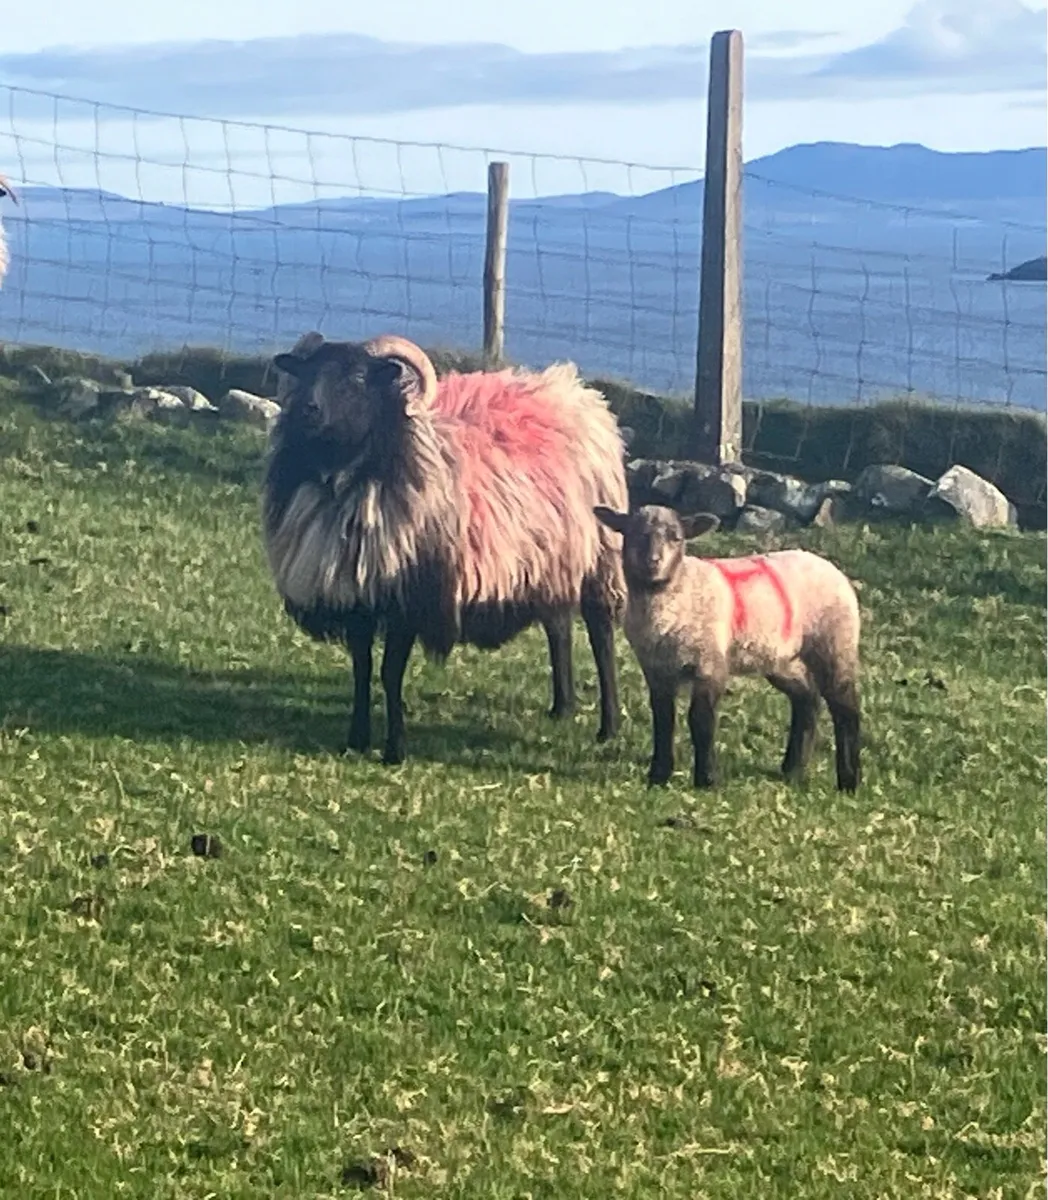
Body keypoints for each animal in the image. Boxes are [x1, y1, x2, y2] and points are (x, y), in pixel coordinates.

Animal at [262, 331, 628, 765]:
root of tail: (571, 389)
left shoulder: (409, 598)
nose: (309, 410)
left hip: (600, 554)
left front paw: (395, 750)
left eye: (357, 378)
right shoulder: (358, 599)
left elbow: (389, 673)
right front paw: (356, 739)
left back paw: (608, 727)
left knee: (600, 632)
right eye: (307, 373)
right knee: (558, 626)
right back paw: (562, 706)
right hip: (548, 560)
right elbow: (362, 669)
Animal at [593, 503, 862, 792]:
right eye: (633, 533)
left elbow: (700, 720)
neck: (677, 591)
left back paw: (849, 780)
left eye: (677, 537)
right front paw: (658, 775)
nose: (653, 561)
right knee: (807, 698)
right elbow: (663, 720)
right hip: (781, 658)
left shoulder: (709, 663)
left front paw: (707, 779)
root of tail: (832, 569)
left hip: (834, 643)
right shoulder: (656, 670)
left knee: (846, 708)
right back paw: (793, 768)